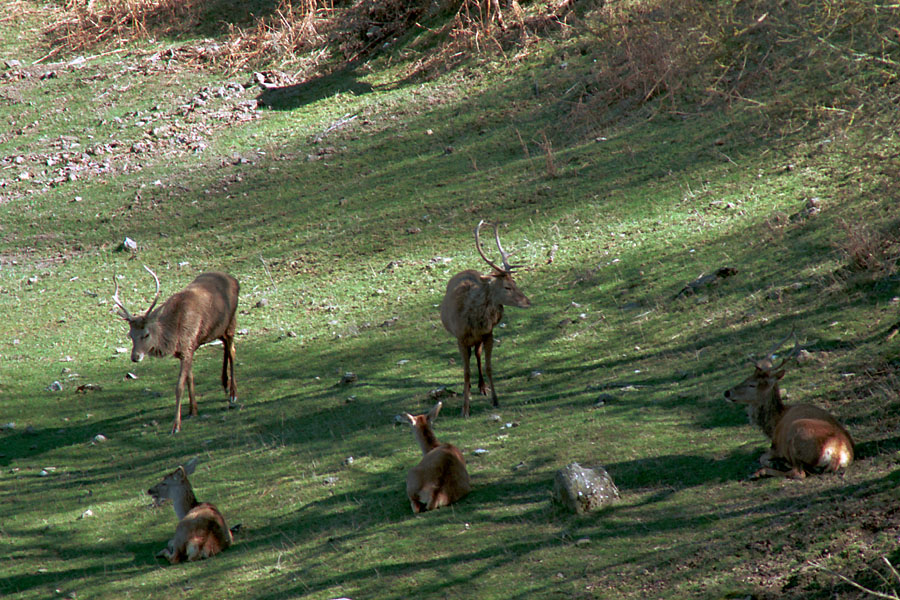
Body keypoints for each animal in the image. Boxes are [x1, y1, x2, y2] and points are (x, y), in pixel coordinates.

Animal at [111, 266, 239, 432]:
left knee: (232, 350)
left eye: (146, 334)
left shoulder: (187, 347)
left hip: (231, 321)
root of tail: (235, 280)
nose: (135, 357)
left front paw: (176, 425)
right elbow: (190, 378)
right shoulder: (188, 350)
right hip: (218, 330)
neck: (175, 337)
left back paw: (233, 394)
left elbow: (179, 386)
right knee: (226, 346)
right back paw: (224, 384)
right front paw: (193, 410)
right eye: (130, 335)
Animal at [440, 220, 532, 418]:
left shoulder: (489, 333)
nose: (527, 302)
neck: (473, 322)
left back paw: (482, 387)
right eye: (507, 287)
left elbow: (489, 366)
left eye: (515, 283)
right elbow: (466, 373)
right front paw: (465, 409)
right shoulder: (460, 338)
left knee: (477, 353)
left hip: (481, 338)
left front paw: (495, 400)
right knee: (472, 356)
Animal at [720, 330, 856, 480]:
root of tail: (837, 454)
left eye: (752, 384)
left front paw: (773, 463)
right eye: (747, 378)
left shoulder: (776, 446)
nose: (727, 392)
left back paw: (761, 472)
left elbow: (762, 457)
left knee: (799, 473)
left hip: (797, 434)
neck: (774, 423)